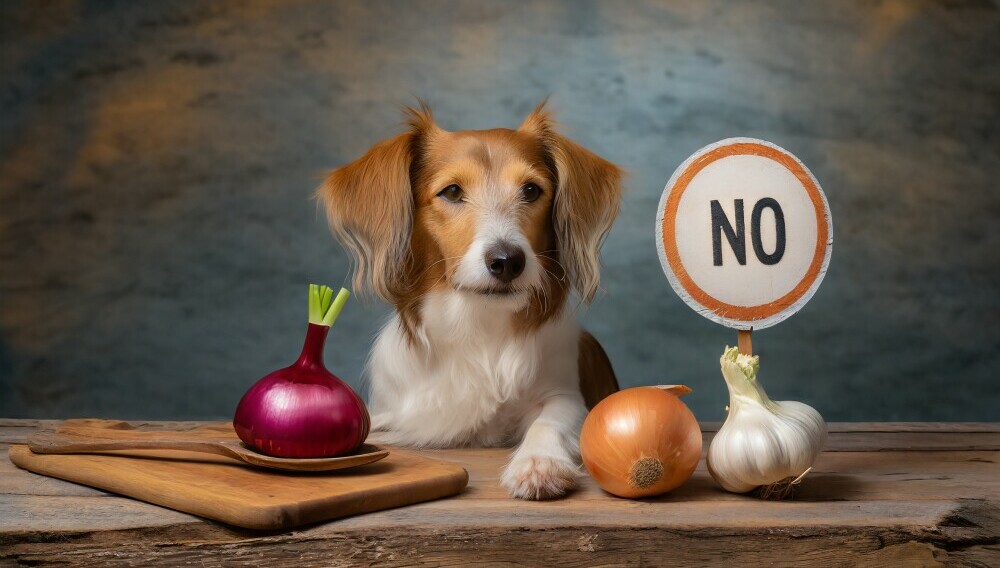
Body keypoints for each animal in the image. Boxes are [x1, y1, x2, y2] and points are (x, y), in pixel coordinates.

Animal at [316, 103, 620, 502]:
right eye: (452, 191)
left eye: (531, 190)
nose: (507, 261)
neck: (479, 326)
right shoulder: (394, 411)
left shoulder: (565, 393)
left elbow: (550, 420)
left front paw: (539, 463)